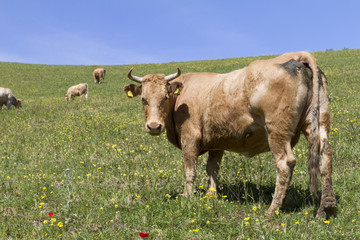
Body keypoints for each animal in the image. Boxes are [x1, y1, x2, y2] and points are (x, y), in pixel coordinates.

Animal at [124, 51, 338, 218]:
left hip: (277, 130)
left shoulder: (190, 137)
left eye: (165, 97)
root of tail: (297, 56)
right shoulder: (216, 141)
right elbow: (212, 169)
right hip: (318, 122)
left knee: (285, 163)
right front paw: (211, 196)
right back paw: (326, 207)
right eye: (143, 99)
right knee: (325, 154)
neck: (181, 97)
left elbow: (190, 169)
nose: (154, 126)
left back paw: (272, 210)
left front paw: (187, 197)